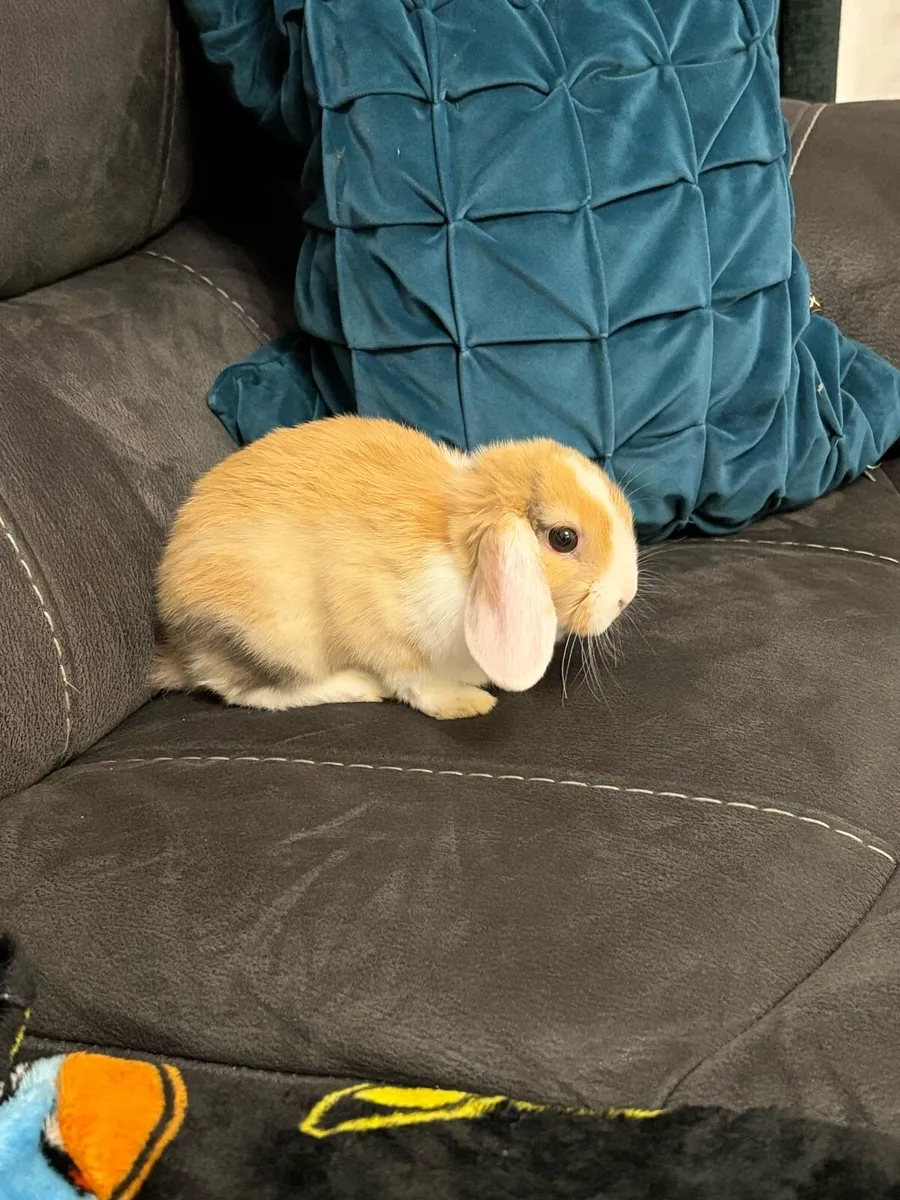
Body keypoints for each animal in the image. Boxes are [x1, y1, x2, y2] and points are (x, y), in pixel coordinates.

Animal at [153, 415, 638, 720]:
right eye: (564, 538)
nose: (624, 597)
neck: (461, 563)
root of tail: (177, 644)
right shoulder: (384, 632)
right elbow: (415, 683)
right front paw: (465, 703)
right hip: (275, 635)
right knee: (247, 692)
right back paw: (361, 687)